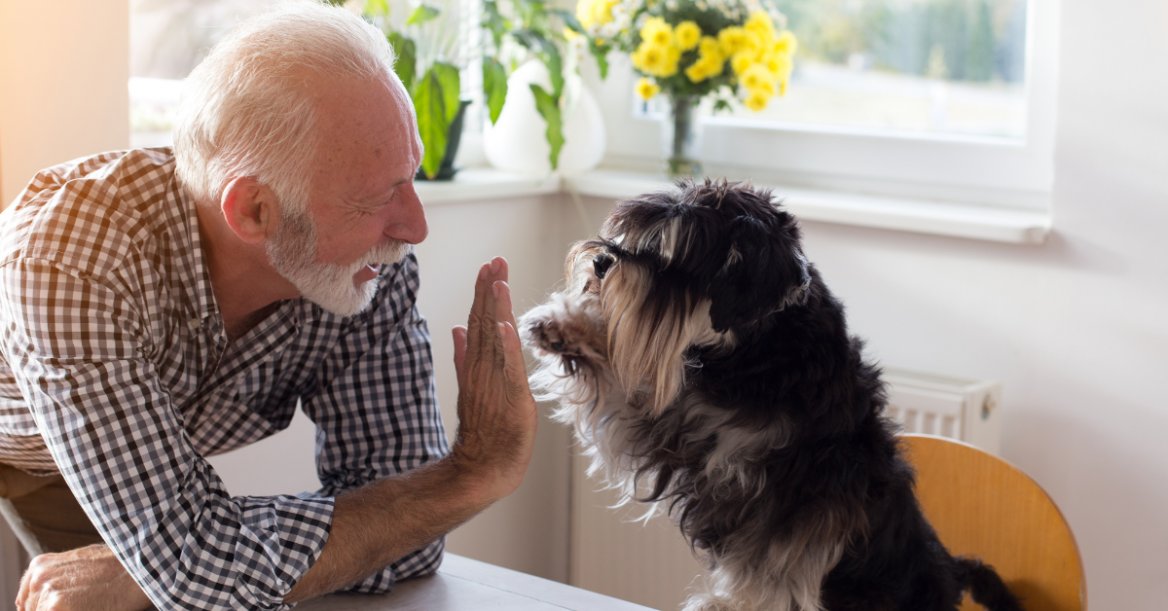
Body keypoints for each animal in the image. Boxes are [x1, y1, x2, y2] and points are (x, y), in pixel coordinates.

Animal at [520, 181, 1023, 611]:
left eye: (676, 255)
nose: (601, 261)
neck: (758, 351)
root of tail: (952, 573)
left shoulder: (801, 497)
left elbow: (774, 565)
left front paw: (731, 604)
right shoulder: (675, 425)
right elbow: (622, 385)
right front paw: (564, 325)